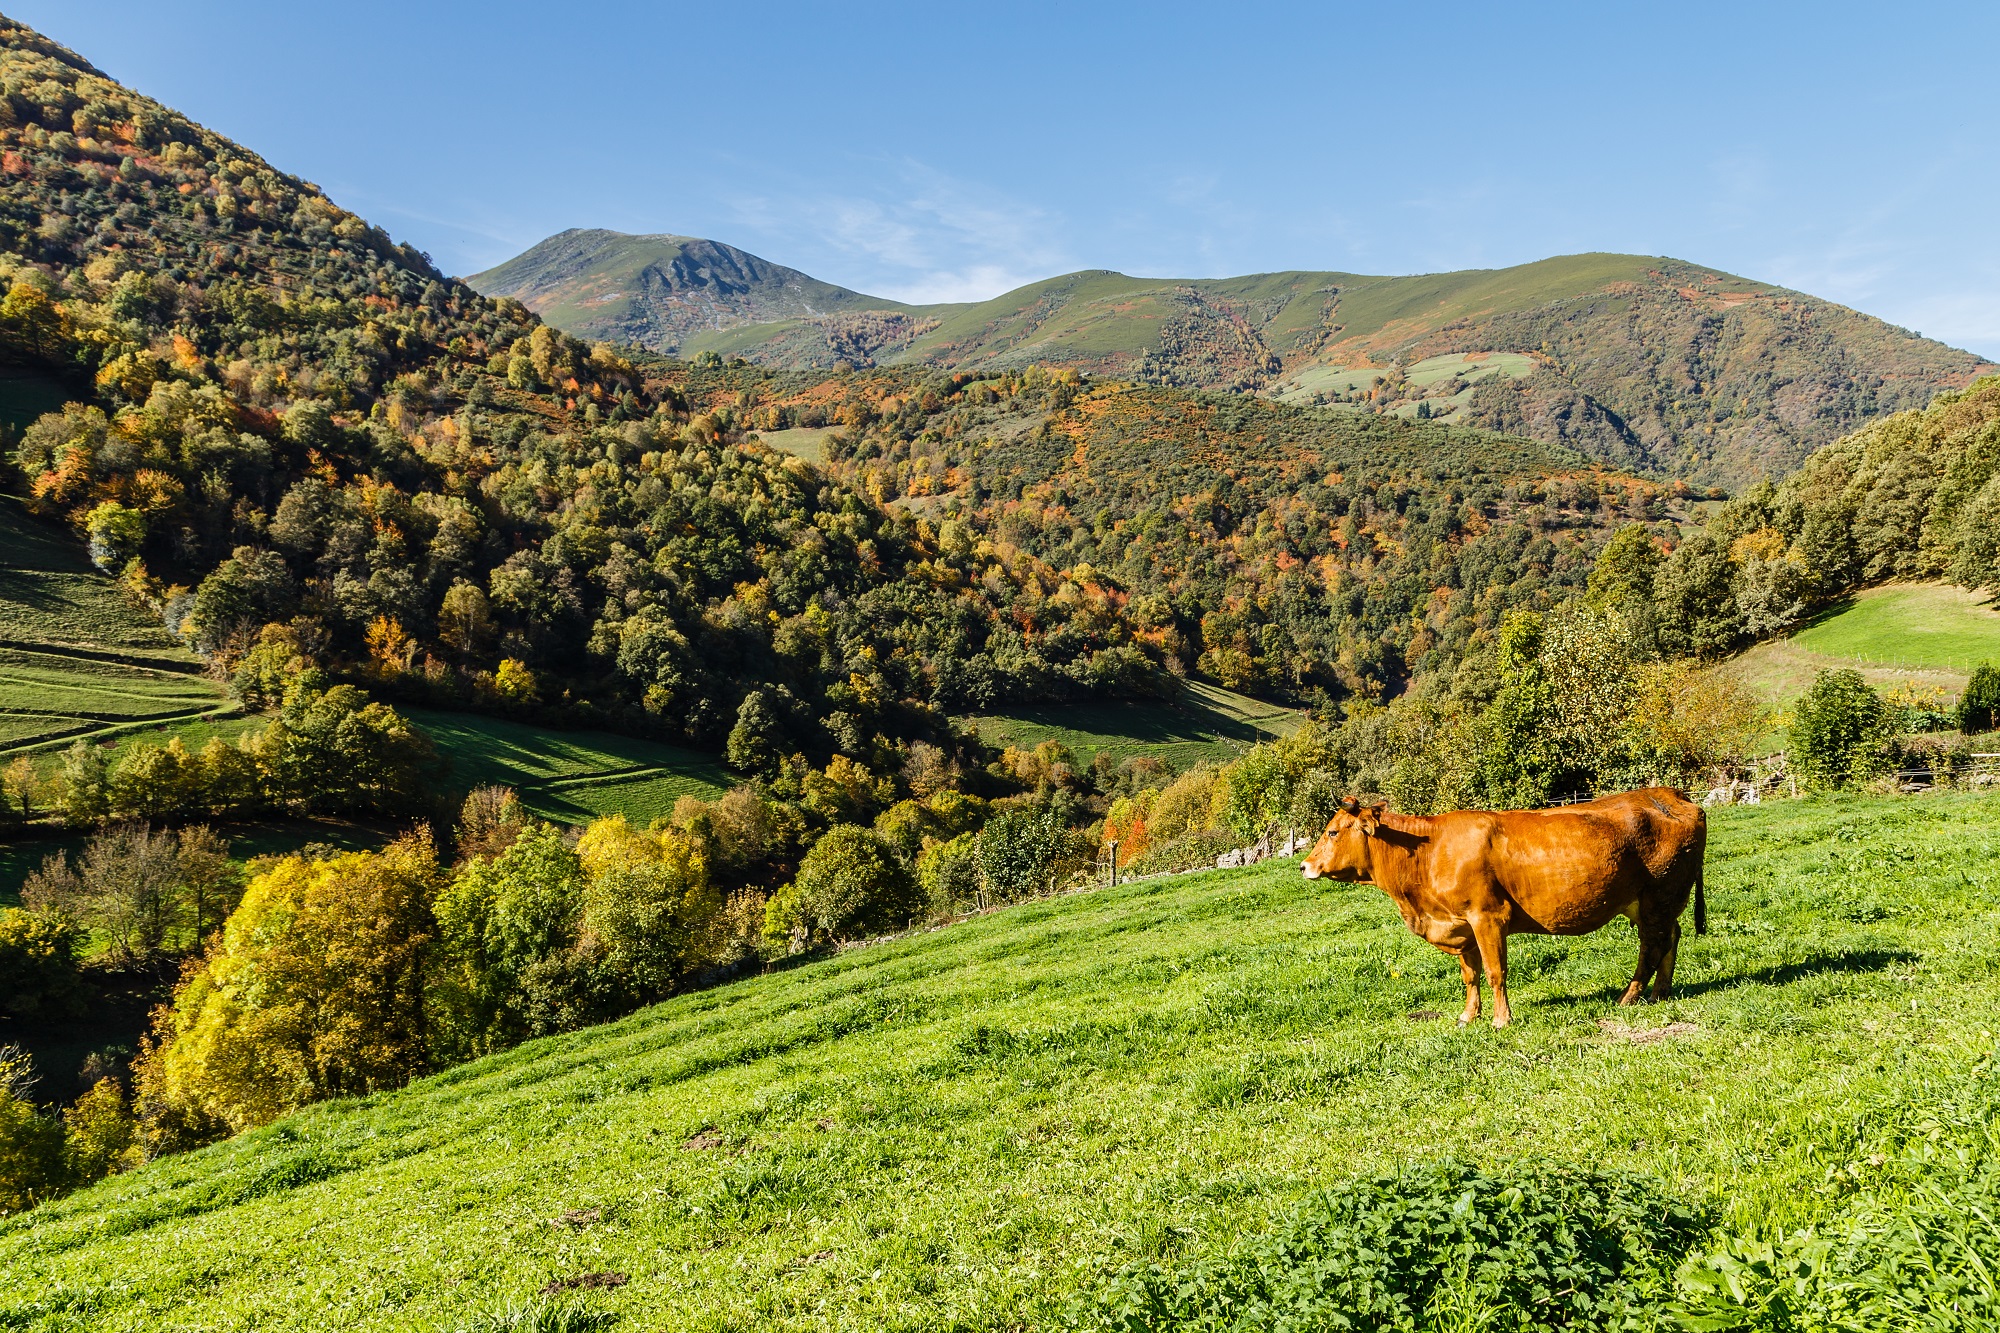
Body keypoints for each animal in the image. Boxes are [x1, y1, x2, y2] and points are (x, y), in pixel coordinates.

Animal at [1304, 788, 1712, 1024]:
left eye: (1332, 832)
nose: (1304, 865)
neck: (1426, 851)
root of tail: (1673, 796)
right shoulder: (1460, 926)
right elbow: (1470, 976)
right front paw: (1468, 1016)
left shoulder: (1487, 917)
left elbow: (1495, 972)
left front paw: (1502, 1020)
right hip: (1650, 902)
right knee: (1669, 938)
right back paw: (1660, 992)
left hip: (1660, 894)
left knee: (1653, 945)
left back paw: (1630, 996)